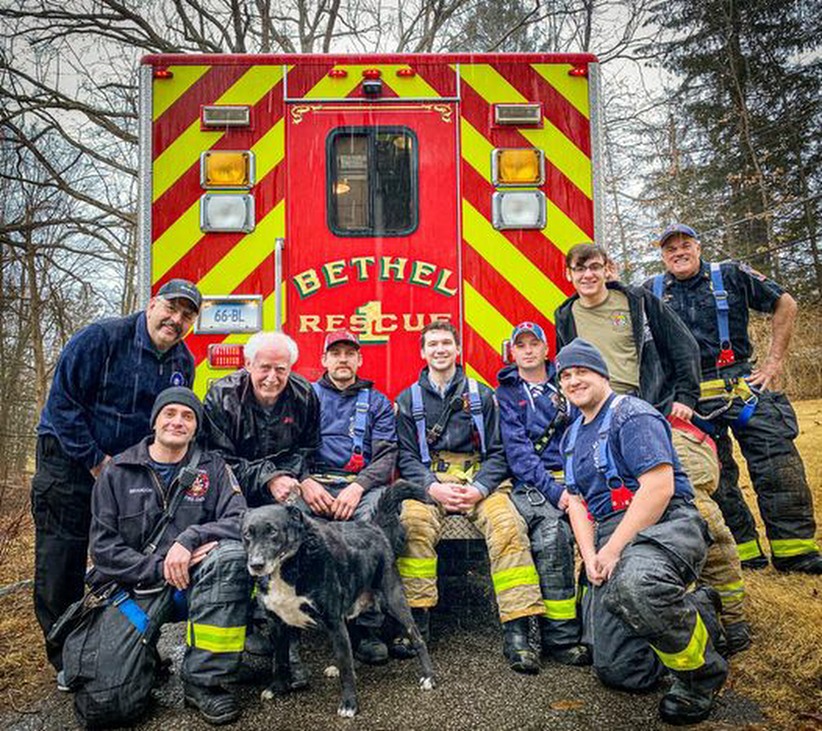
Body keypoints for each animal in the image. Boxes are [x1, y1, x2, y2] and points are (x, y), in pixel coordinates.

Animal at [242, 480, 436, 717]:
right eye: (247, 534)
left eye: (272, 532)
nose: (256, 565)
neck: (292, 565)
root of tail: (374, 526)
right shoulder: (276, 622)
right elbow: (280, 660)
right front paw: (277, 688)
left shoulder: (333, 621)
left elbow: (346, 667)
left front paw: (350, 704)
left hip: (393, 601)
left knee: (416, 637)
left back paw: (428, 677)